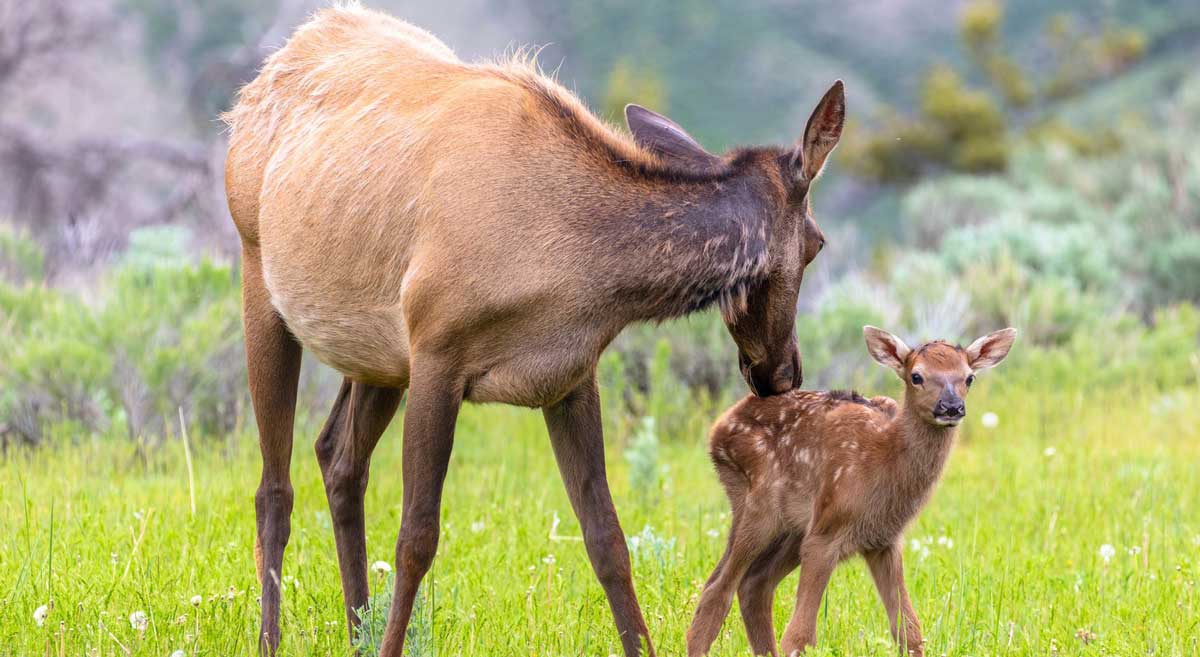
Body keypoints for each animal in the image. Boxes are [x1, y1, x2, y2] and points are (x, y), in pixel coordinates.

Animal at [222, 4, 846, 656]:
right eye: (817, 243)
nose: (783, 372)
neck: (573, 269)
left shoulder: (569, 376)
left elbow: (608, 539)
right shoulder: (438, 351)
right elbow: (417, 538)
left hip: (380, 353)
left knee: (338, 457)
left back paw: (357, 632)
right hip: (259, 271)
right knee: (274, 489)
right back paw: (273, 638)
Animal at [687, 326, 1017, 657]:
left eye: (969, 377)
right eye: (916, 376)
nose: (951, 407)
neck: (882, 465)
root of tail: (718, 429)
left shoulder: (884, 541)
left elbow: (909, 630)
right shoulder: (825, 533)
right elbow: (800, 635)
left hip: (792, 527)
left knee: (753, 584)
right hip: (761, 504)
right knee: (718, 590)